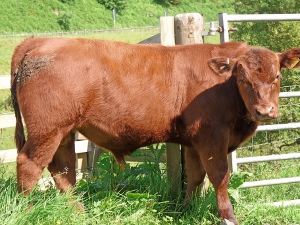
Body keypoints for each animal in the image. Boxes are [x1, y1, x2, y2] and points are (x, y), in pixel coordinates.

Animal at [9, 37, 300, 224]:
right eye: (242, 78)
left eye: (277, 76)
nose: (265, 111)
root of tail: (38, 40)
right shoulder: (212, 137)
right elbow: (219, 177)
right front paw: (228, 217)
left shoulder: (194, 141)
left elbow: (194, 177)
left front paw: (185, 210)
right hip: (47, 130)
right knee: (29, 166)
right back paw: (25, 211)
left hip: (64, 132)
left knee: (64, 171)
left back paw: (79, 213)